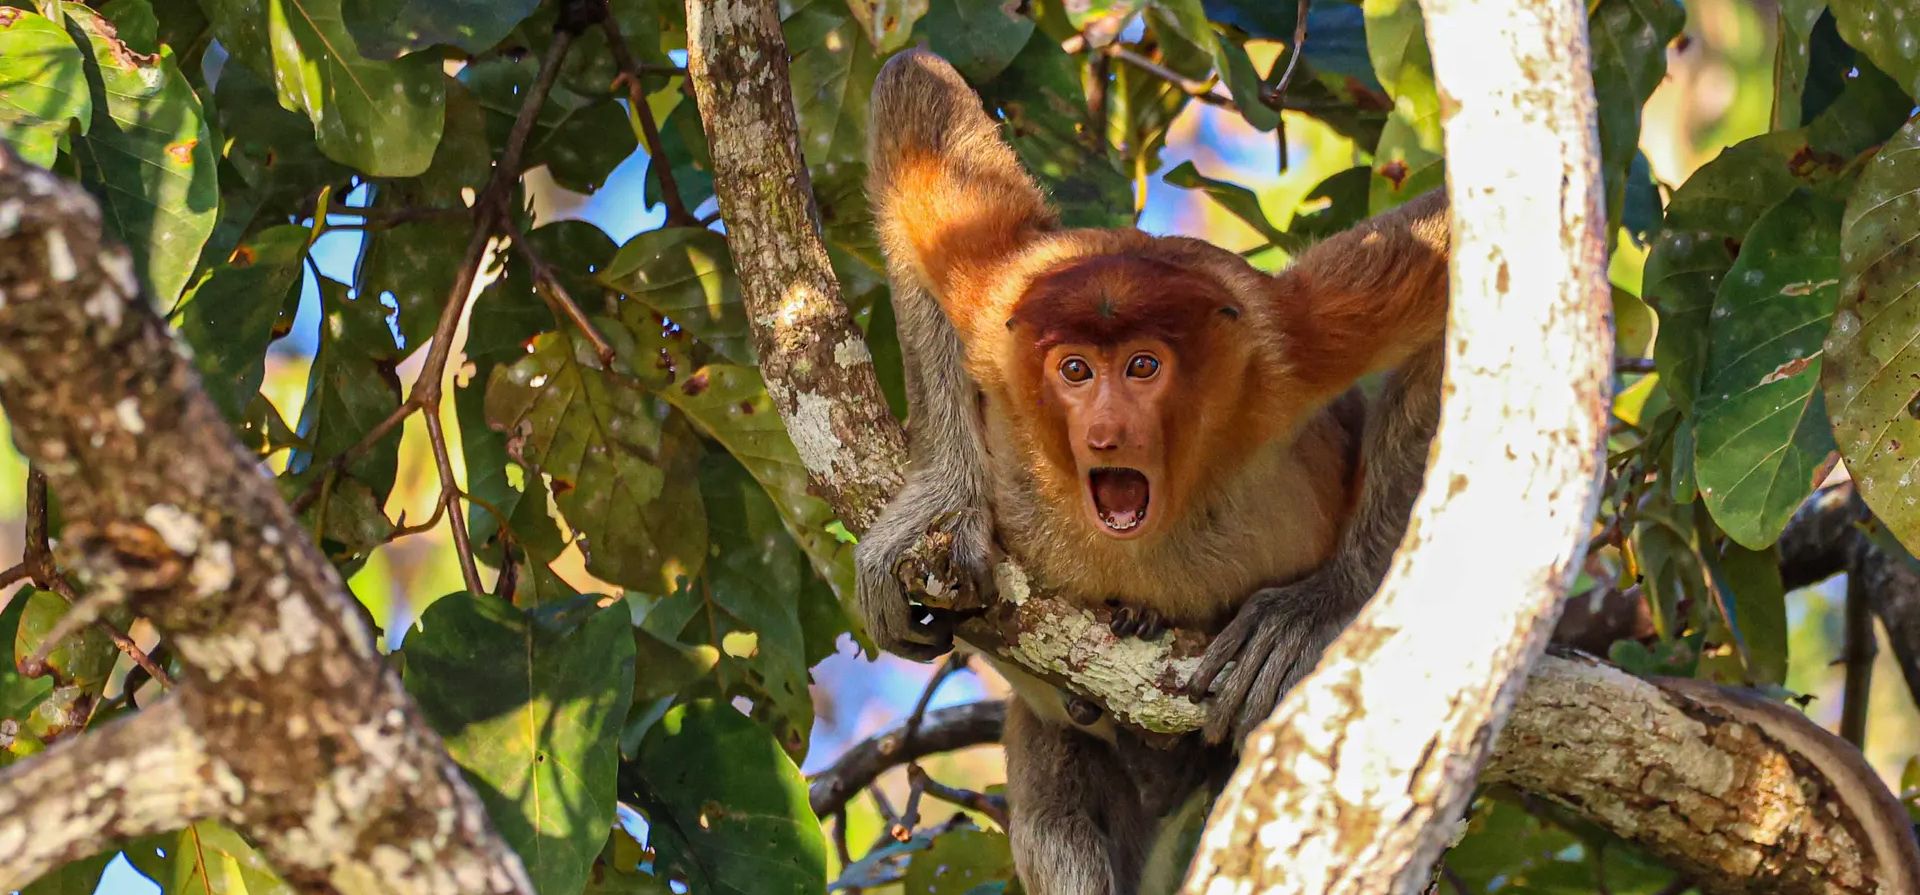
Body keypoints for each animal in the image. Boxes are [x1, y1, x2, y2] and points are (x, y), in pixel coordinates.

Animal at [854, 49, 1450, 895]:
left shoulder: (1287, 348)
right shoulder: (999, 305)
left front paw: (1322, 604)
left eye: (1143, 366)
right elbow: (914, 99)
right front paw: (944, 503)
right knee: (1059, 817)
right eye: (1074, 369)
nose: (1107, 433)